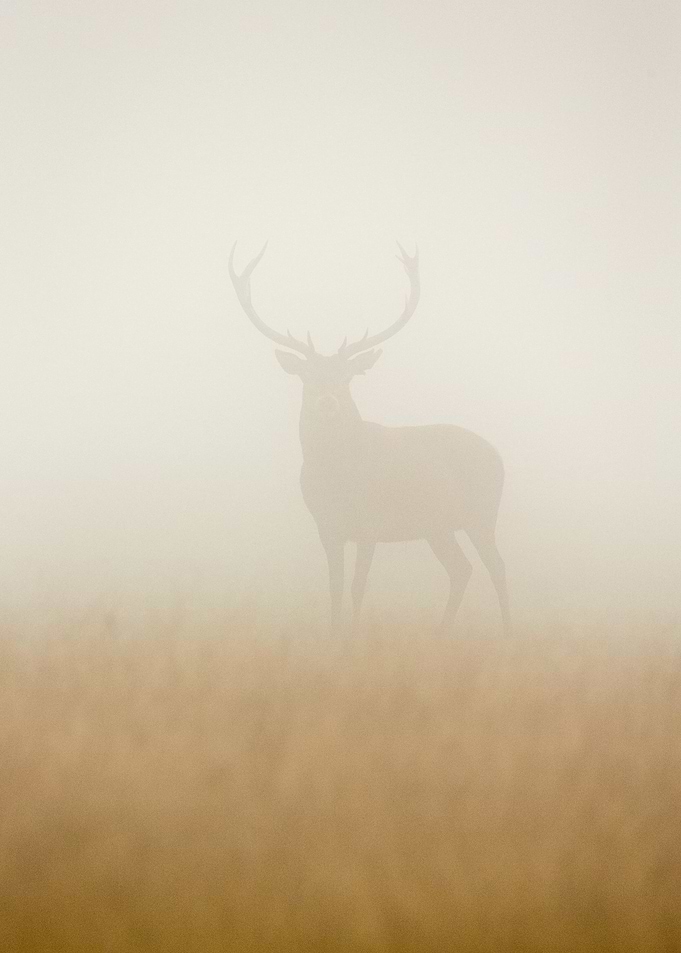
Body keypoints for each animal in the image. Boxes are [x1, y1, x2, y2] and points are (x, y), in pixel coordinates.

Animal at [228, 242, 511, 634]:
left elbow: (357, 586)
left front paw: (354, 636)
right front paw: (334, 634)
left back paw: (508, 631)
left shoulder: (370, 524)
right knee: (461, 569)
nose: (327, 401)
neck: (336, 478)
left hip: (482, 512)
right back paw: (441, 633)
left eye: (347, 377)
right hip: (437, 526)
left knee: (496, 566)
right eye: (306, 376)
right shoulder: (326, 526)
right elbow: (334, 586)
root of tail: (498, 456)